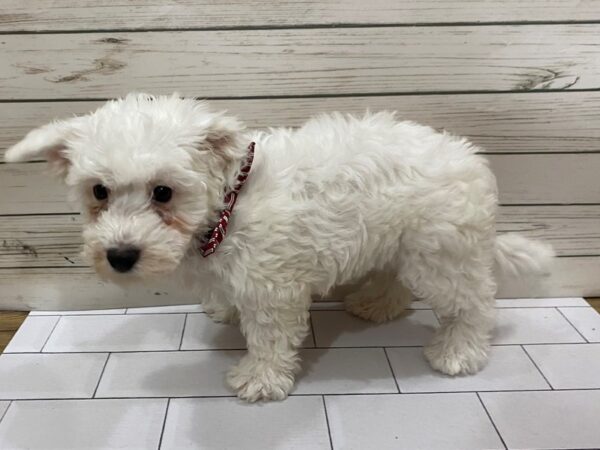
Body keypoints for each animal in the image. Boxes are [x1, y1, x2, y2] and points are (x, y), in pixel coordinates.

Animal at [4, 93, 552, 402]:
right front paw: (224, 310)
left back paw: (459, 352)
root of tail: (473, 160)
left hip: (441, 254)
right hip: (401, 241)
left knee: (475, 303)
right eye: (98, 191)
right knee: (395, 278)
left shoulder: (272, 288)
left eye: (163, 192)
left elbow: (269, 339)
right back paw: (376, 304)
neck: (229, 206)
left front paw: (260, 381)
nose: (119, 257)